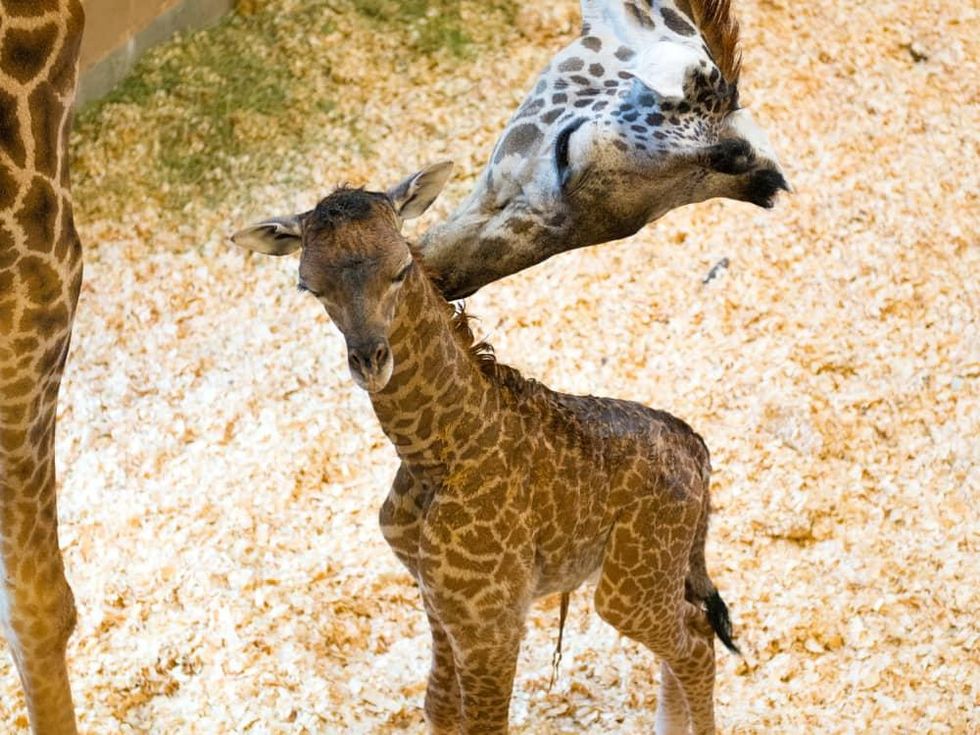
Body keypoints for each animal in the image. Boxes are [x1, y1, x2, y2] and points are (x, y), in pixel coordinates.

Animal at [232, 163, 740, 735]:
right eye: (309, 286)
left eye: (402, 267)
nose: (369, 361)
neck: (438, 454)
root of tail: (698, 453)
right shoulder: (436, 596)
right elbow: (439, 706)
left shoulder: (491, 618)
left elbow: (483, 721)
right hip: (655, 576)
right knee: (691, 635)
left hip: (630, 585)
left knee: (696, 642)